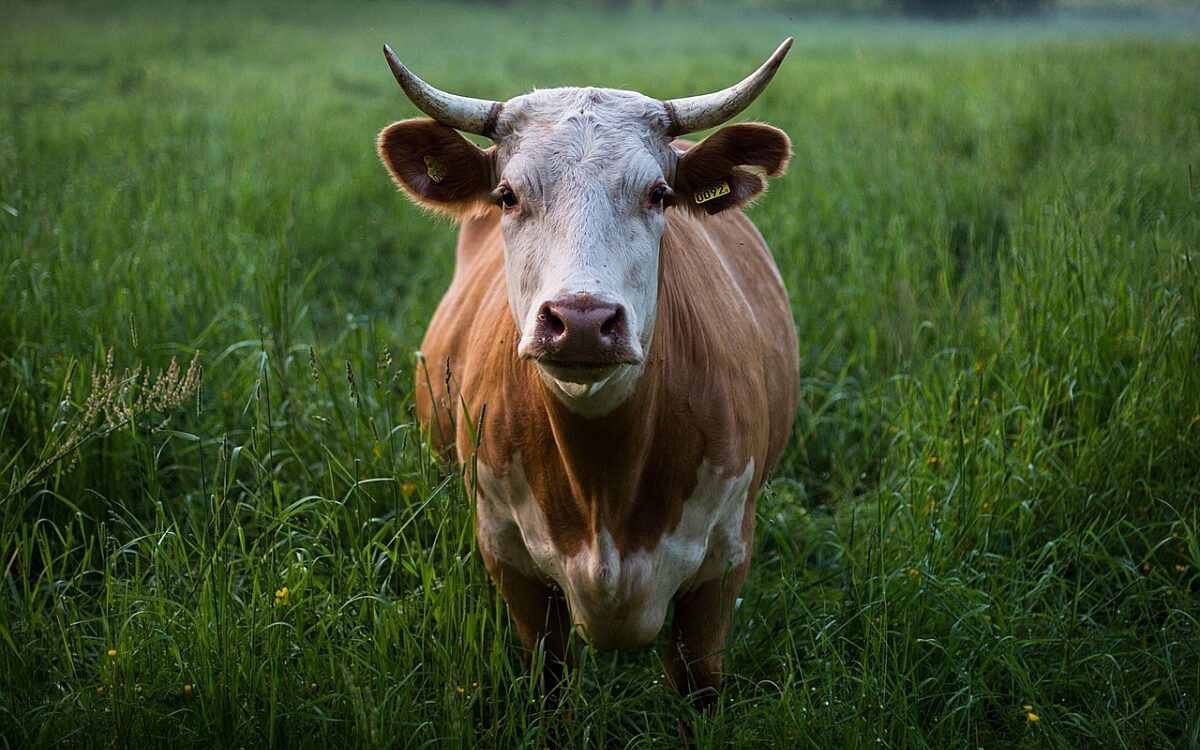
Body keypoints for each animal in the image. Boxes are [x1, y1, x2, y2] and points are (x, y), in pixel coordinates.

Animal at [377, 40, 800, 708]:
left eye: (658, 194)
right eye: (507, 194)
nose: (580, 320)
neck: (604, 482)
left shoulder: (723, 567)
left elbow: (698, 687)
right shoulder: (510, 561)